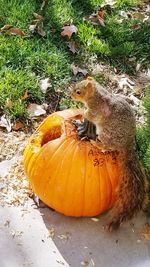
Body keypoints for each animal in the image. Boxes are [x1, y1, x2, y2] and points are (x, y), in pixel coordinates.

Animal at [70, 76, 146, 231]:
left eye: (79, 91)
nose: (70, 95)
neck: (97, 95)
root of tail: (126, 145)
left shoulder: (96, 110)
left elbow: (89, 114)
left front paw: (84, 111)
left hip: (106, 134)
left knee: (107, 146)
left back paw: (96, 143)